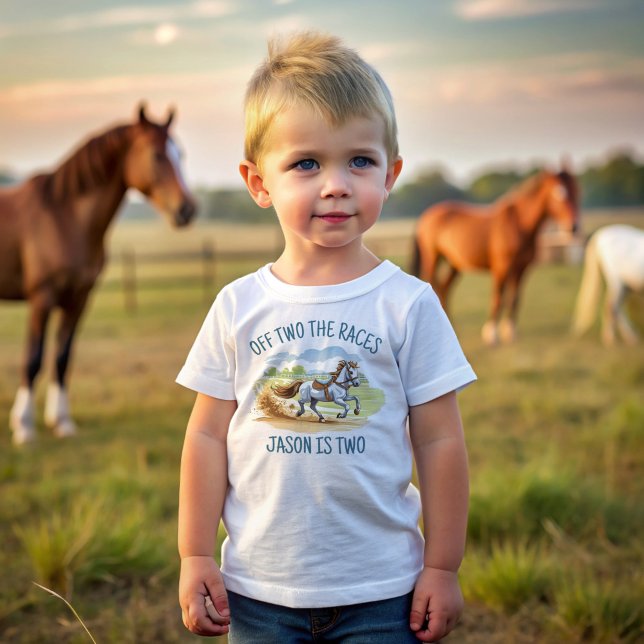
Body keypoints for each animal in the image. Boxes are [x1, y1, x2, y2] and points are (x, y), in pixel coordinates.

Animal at [1, 104, 197, 445]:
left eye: (181, 154)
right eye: (157, 155)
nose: (186, 210)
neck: (63, 217)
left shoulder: (78, 299)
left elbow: (62, 358)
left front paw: (62, 422)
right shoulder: (42, 298)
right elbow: (33, 359)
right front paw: (23, 427)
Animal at [412, 165, 579, 345]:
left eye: (576, 190)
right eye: (559, 192)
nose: (573, 227)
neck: (518, 225)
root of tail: (427, 217)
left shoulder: (522, 269)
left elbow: (514, 299)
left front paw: (511, 333)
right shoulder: (502, 268)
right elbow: (498, 298)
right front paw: (491, 335)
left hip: (454, 264)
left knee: (444, 288)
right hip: (433, 258)